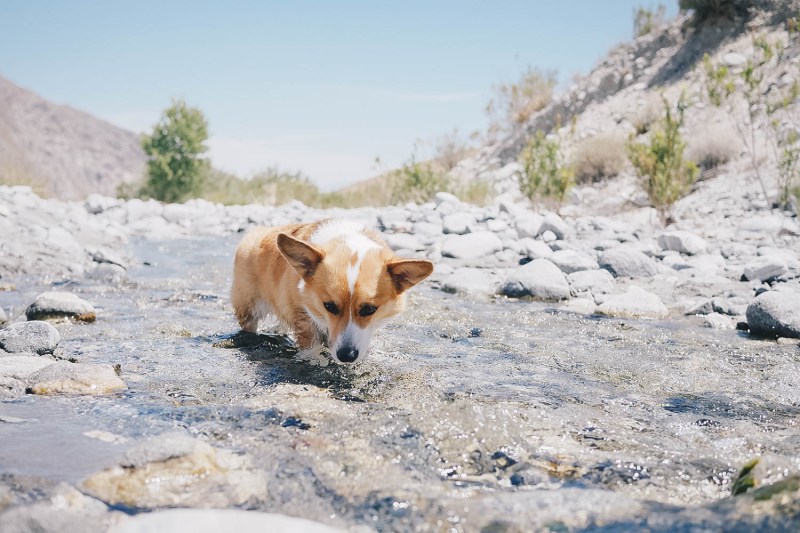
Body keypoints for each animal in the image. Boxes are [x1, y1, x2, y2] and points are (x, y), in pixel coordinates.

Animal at [230, 218, 432, 364]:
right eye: (329, 306)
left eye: (369, 309)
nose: (346, 356)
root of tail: (255, 232)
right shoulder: (303, 318)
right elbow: (311, 347)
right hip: (248, 308)